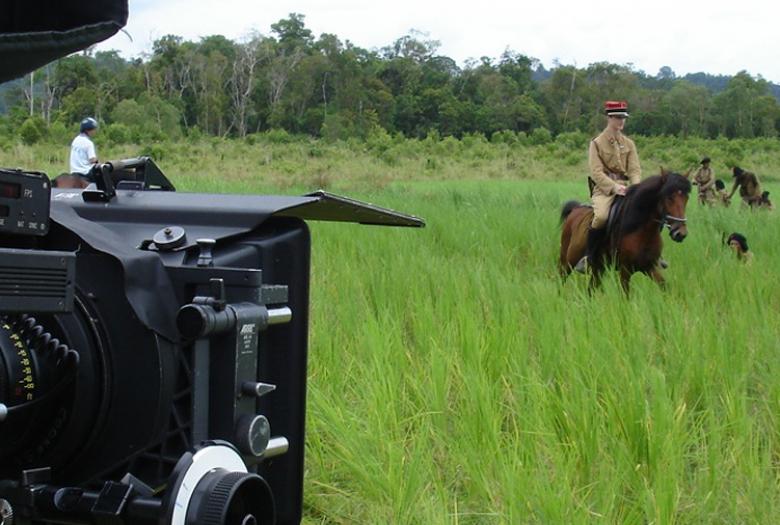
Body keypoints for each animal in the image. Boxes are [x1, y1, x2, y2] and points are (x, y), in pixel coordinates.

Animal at [556, 172, 692, 294]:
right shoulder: (625, 270)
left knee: (591, 289)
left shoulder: (649, 267)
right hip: (567, 261)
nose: (680, 233)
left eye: (686, 198)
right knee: (562, 279)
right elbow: (625, 296)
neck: (642, 232)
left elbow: (665, 288)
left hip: (598, 268)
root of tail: (575, 209)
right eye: (669, 198)